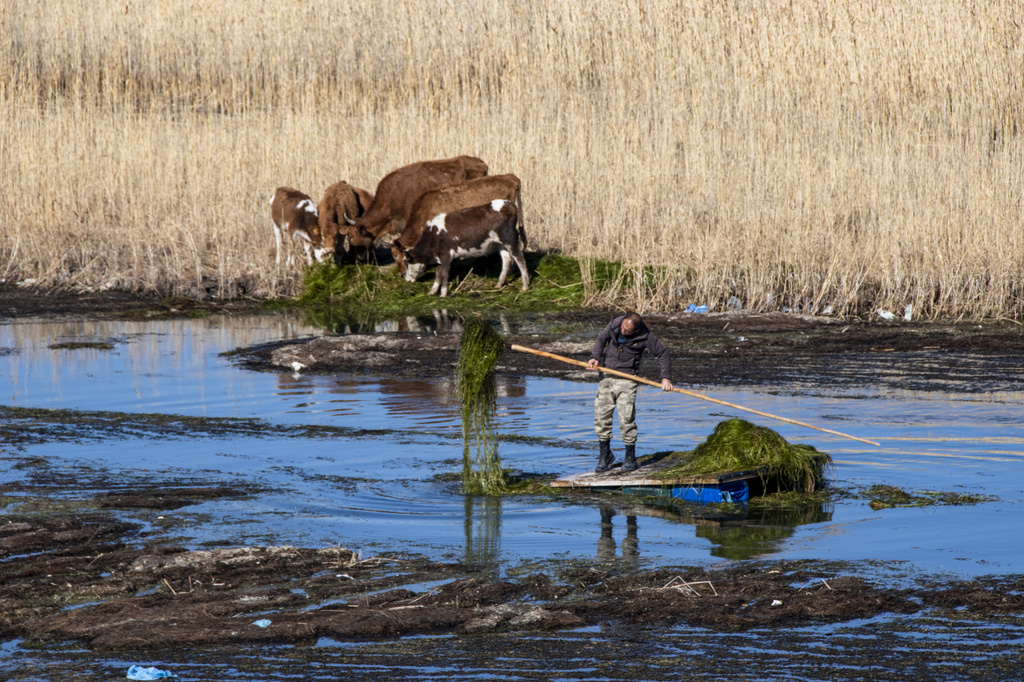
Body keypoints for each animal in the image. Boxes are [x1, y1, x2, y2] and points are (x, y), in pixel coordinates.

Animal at [399, 197, 528, 296]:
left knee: (520, 258)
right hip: (500, 244)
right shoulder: (440, 258)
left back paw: (525, 285)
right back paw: (499, 284)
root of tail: (508, 203)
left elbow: (444, 274)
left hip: (510, 239)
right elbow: (438, 274)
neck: (433, 235)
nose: (407, 279)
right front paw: (432, 291)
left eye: (407, 262)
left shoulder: (445, 255)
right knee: (506, 260)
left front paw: (443, 294)